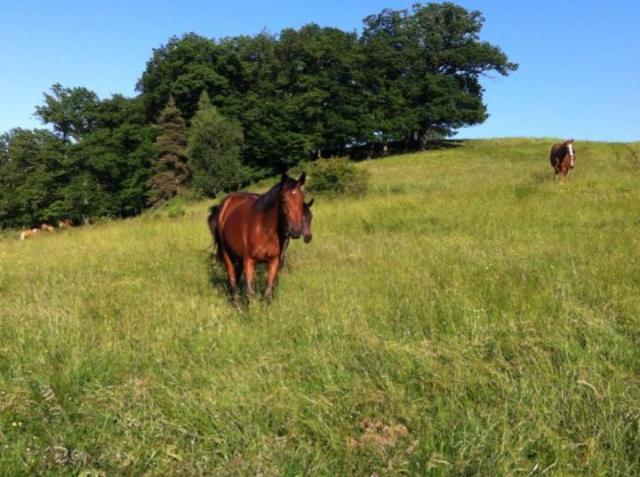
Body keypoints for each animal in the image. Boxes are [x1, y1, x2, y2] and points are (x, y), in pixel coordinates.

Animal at [210, 173, 308, 302]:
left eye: (302, 199)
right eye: (283, 199)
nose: (296, 231)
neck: (264, 229)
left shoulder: (274, 262)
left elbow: (267, 292)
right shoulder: (249, 261)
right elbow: (250, 293)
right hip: (227, 254)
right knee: (232, 279)